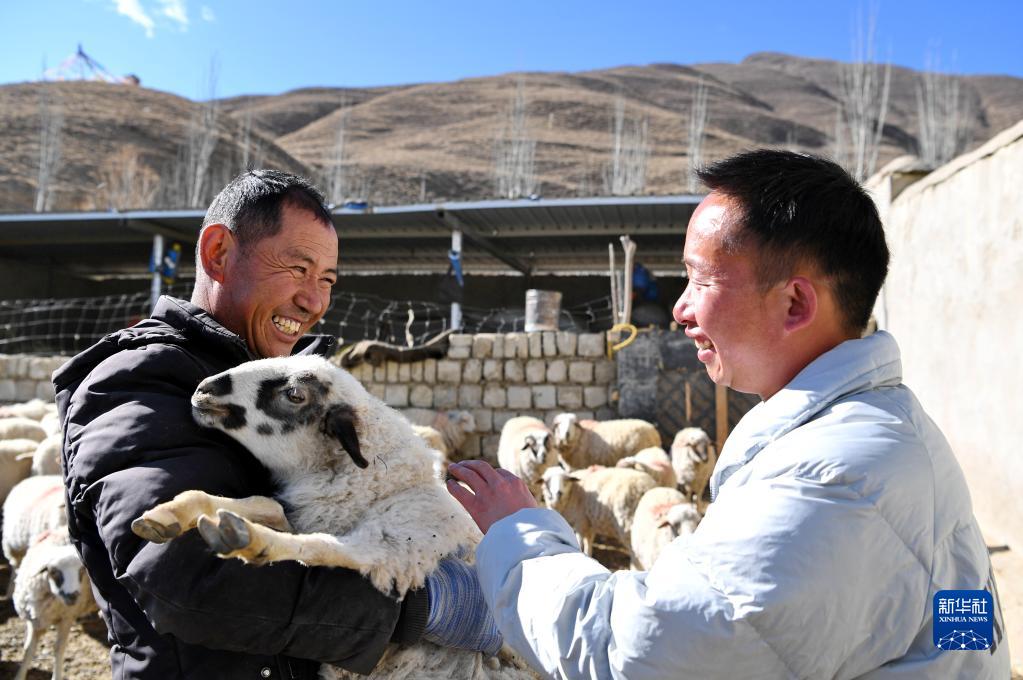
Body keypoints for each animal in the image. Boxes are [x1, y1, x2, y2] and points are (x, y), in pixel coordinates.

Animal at [12, 528, 97, 680]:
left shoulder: (66, 618)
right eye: (53, 571)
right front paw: (19, 675)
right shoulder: (34, 619)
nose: (73, 595)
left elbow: (58, 649)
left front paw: (56, 675)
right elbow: (28, 650)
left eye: (81, 570)